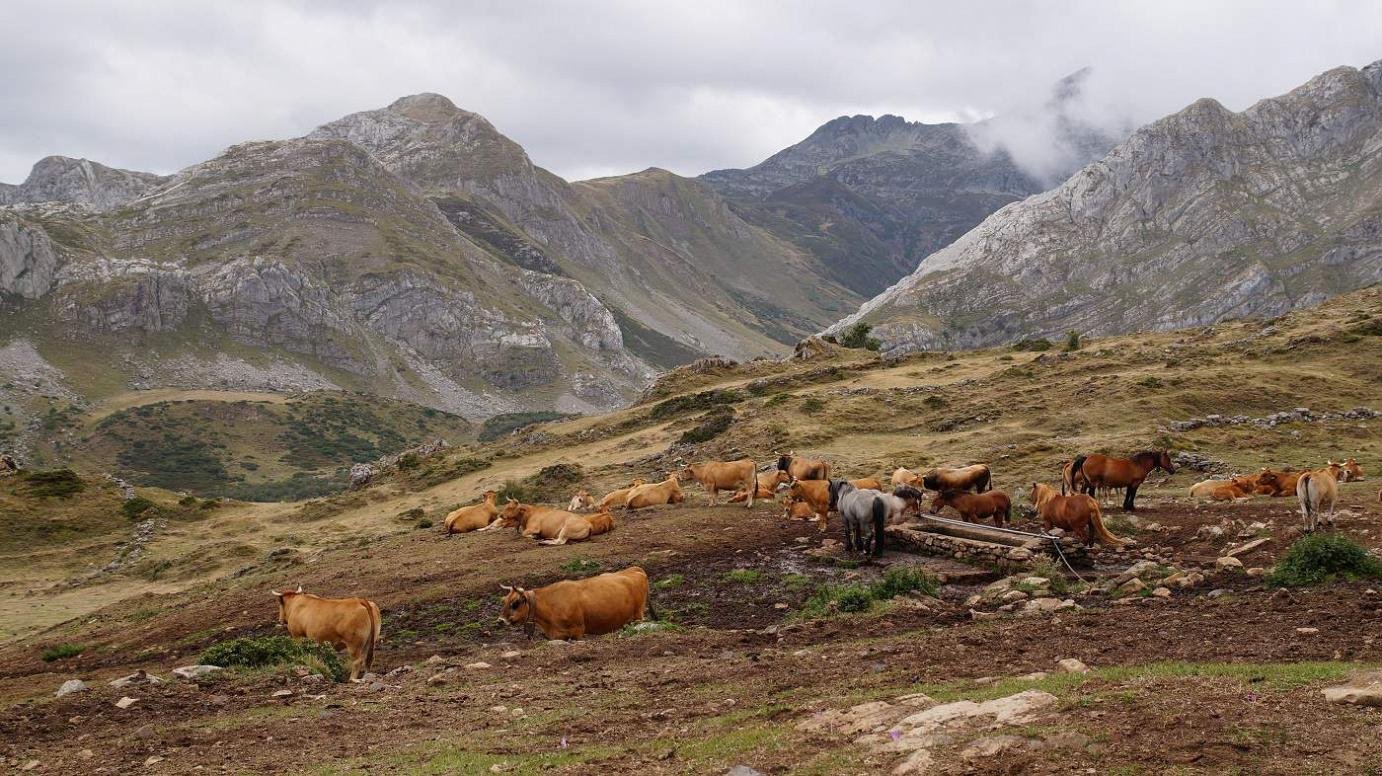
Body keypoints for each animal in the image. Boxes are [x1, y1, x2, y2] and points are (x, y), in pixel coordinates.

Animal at [500, 566, 655, 637]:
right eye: (504, 601)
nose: (500, 620)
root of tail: (634, 569)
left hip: (638, 615)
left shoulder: (578, 630)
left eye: (515, 603)